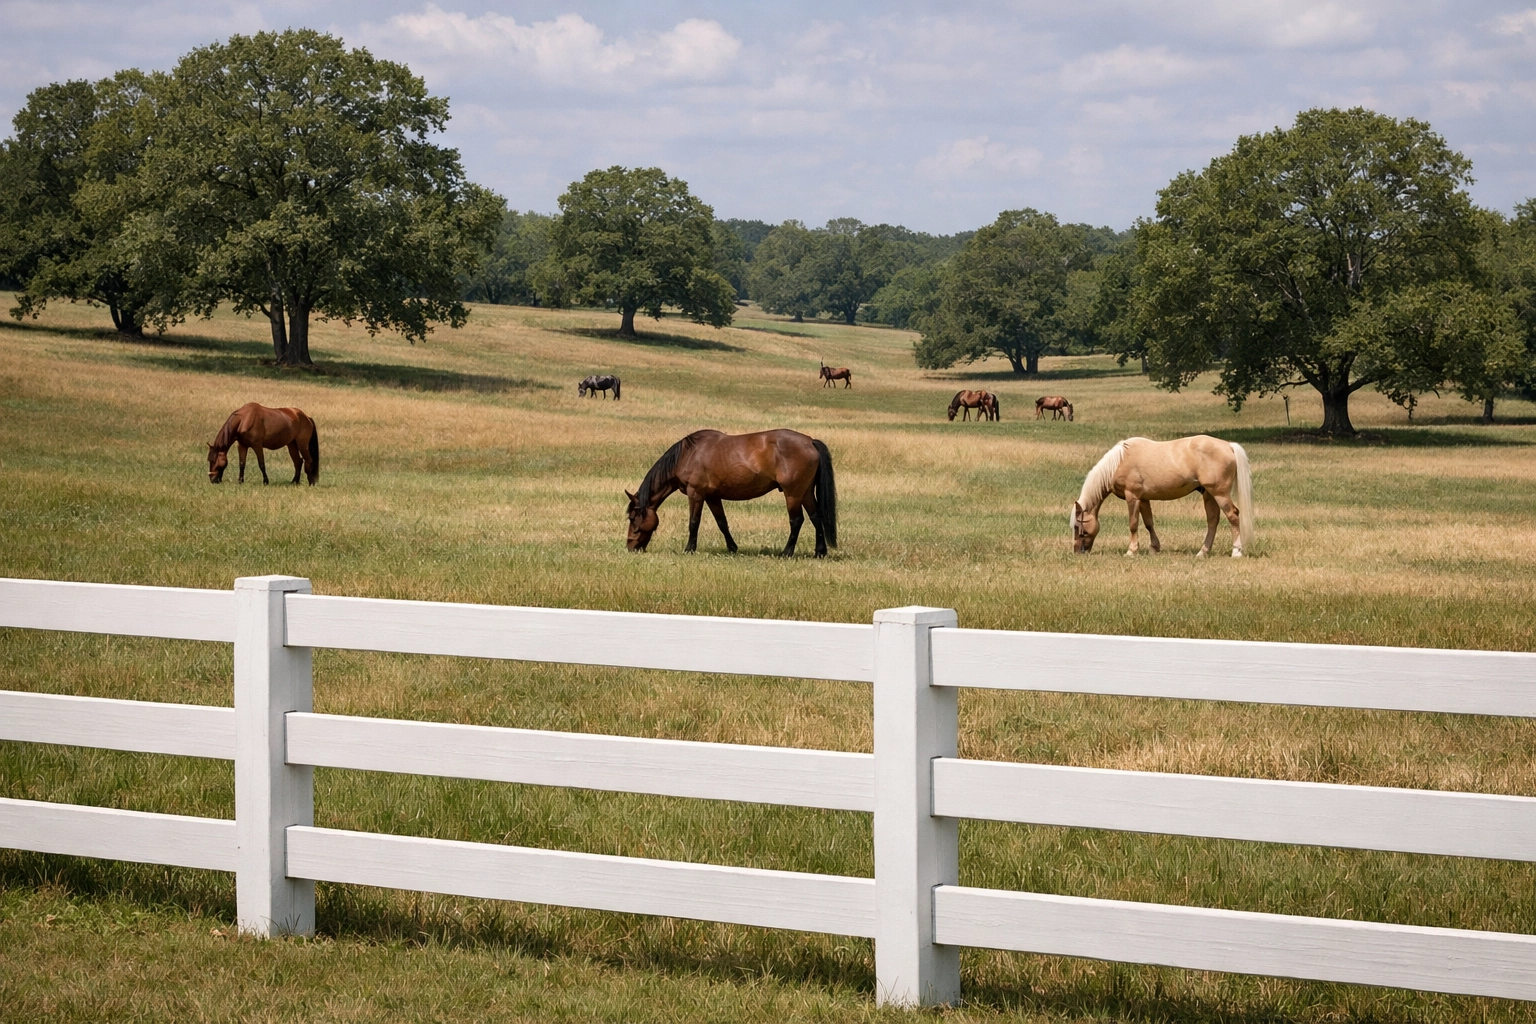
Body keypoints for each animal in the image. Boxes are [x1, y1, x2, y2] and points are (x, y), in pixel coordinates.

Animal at [625, 429, 838, 558]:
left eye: (633, 518)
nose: (630, 547)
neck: (687, 454)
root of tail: (810, 441)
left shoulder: (696, 494)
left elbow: (694, 523)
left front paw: (689, 549)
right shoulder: (712, 496)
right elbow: (722, 523)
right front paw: (732, 548)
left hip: (792, 493)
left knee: (797, 520)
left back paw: (787, 552)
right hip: (805, 492)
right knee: (816, 517)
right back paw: (820, 552)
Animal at [1071, 436, 1253, 558]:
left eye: (1078, 527)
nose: (1078, 552)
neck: (1119, 461)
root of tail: (1228, 445)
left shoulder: (1132, 497)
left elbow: (1133, 524)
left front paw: (1131, 551)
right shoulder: (1143, 499)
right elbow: (1148, 523)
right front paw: (1154, 548)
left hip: (1219, 494)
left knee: (1233, 516)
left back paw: (1236, 551)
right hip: (1209, 494)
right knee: (1213, 521)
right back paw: (1202, 552)